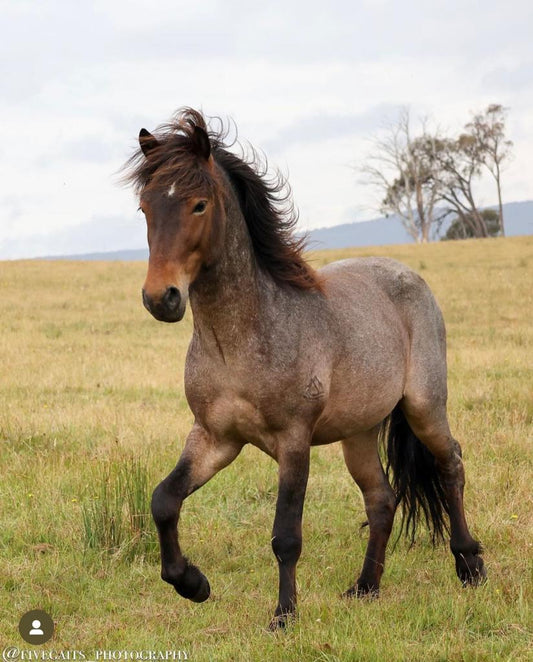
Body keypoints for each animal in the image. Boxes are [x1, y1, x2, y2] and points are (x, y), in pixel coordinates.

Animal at [124, 107, 485, 630]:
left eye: (198, 205)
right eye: (145, 208)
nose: (161, 298)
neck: (241, 340)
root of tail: (409, 276)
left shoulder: (293, 442)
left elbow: (286, 535)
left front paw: (283, 615)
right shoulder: (215, 437)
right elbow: (163, 501)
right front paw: (192, 584)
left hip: (424, 407)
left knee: (450, 465)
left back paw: (470, 564)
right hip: (359, 431)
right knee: (382, 500)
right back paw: (365, 587)